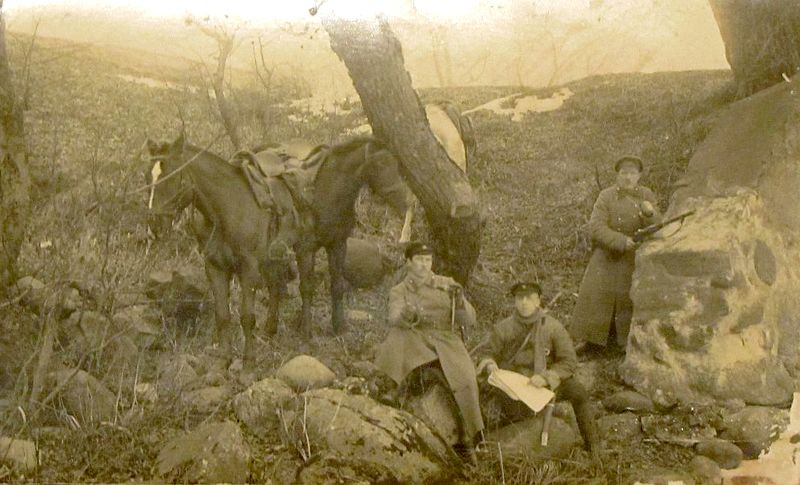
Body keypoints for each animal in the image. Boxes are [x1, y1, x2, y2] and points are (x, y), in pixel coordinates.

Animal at [145, 133, 405, 364]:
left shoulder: (327, 245)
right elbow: (223, 316)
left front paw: (250, 363)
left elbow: (253, 315)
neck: (228, 206)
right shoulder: (216, 267)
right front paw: (224, 361)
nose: (154, 225)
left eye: (168, 175)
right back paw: (271, 327)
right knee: (275, 285)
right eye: (150, 178)